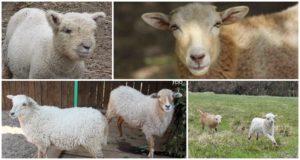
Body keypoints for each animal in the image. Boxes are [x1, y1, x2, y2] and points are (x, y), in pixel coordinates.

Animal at [7, 85, 183, 158]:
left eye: (24, 104)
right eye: (13, 102)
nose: (11, 113)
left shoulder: (42, 142)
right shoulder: (42, 143)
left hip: (92, 139)